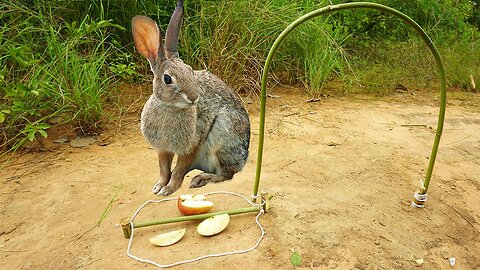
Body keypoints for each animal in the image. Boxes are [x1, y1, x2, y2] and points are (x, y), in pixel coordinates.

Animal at [131, 0, 251, 195]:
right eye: (167, 79)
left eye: (191, 72)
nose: (194, 98)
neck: (169, 107)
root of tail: (243, 160)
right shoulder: (162, 148)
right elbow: (164, 169)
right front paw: (158, 187)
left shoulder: (193, 144)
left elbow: (179, 169)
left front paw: (168, 189)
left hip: (224, 135)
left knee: (226, 174)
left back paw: (200, 179)